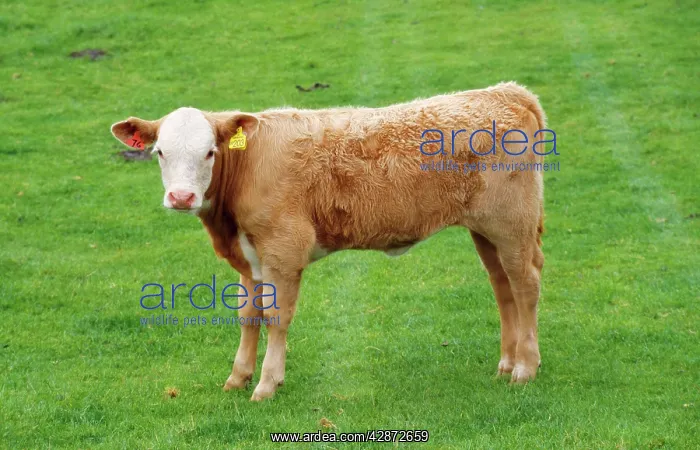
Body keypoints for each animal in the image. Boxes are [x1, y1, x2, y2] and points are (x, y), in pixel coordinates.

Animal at [111, 82, 548, 401]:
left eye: (209, 152)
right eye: (160, 152)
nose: (182, 197)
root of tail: (506, 91)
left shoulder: (284, 251)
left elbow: (276, 317)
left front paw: (267, 384)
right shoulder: (250, 259)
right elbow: (248, 315)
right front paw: (238, 377)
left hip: (513, 225)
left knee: (525, 285)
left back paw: (525, 369)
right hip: (486, 232)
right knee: (503, 288)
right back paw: (506, 364)